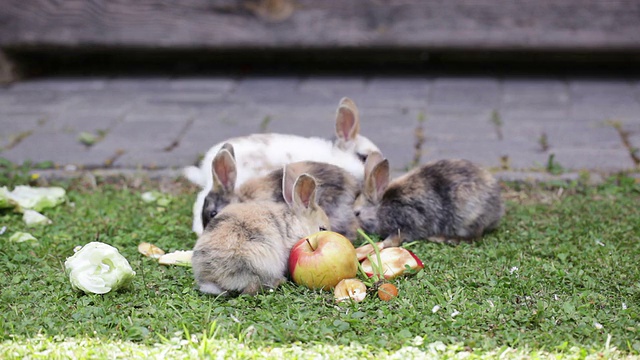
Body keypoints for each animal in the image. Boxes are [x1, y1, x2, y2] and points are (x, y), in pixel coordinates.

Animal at [352, 150, 502, 246]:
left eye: (357, 213)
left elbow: (396, 238)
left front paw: (380, 245)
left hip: (468, 217)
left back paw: (440, 238)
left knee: (475, 236)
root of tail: (497, 210)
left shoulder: (408, 223)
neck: (381, 209)